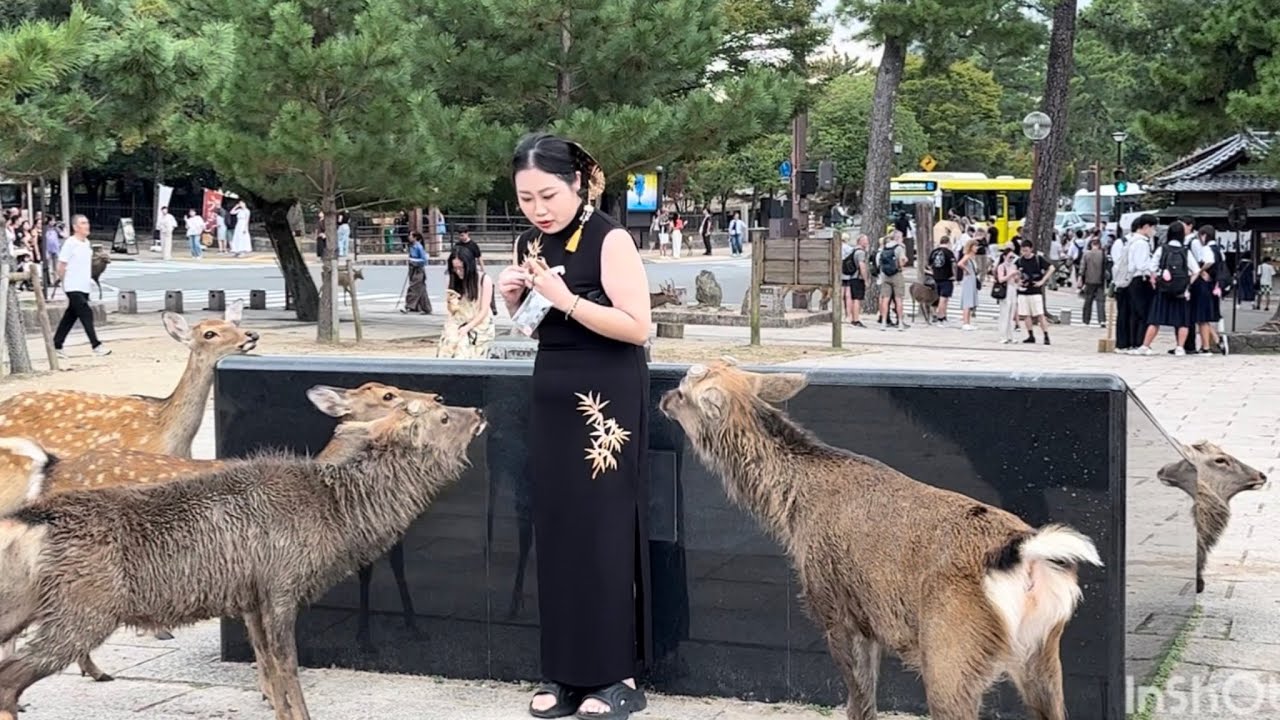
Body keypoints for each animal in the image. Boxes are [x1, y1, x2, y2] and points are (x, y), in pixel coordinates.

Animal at [0, 395, 486, 720]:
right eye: (444, 417)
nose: (479, 412)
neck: (338, 522)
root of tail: (33, 516)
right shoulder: (281, 584)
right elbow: (287, 667)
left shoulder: (251, 596)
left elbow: (268, 667)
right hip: (84, 608)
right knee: (10, 676)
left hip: (27, 604)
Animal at [658, 358, 1103, 720]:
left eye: (683, 390)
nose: (662, 398)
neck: (791, 514)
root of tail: (1028, 556)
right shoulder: (870, 620)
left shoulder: (836, 608)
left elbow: (860, 703)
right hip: (1042, 652)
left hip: (951, 652)